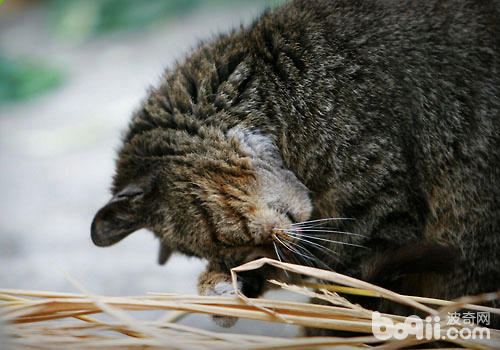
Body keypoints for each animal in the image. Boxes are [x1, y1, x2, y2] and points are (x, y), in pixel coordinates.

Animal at [91, 0, 500, 334]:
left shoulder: (376, 212)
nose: (246, 264)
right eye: (230, 252)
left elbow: (339, 282)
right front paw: (222, 290)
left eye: (224, 240)